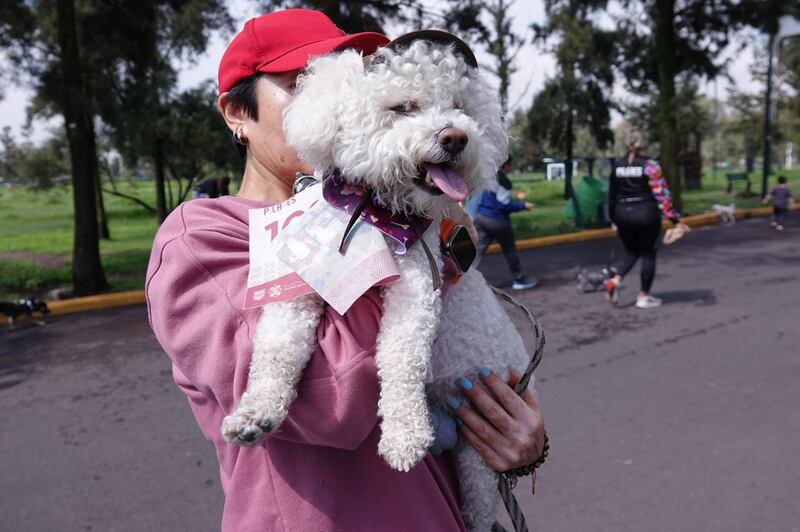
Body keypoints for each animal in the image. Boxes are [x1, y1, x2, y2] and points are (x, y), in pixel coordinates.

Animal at [222, 34, 536, 532]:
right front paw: (255, 413)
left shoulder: (418, 285)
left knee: (480, 503)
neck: (373, 211)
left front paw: (405, 437)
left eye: (459, 106)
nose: (456, 137)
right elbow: (276, 348)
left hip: (478, 452)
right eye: (402, 107)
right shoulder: (301, 283)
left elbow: (400, 355)